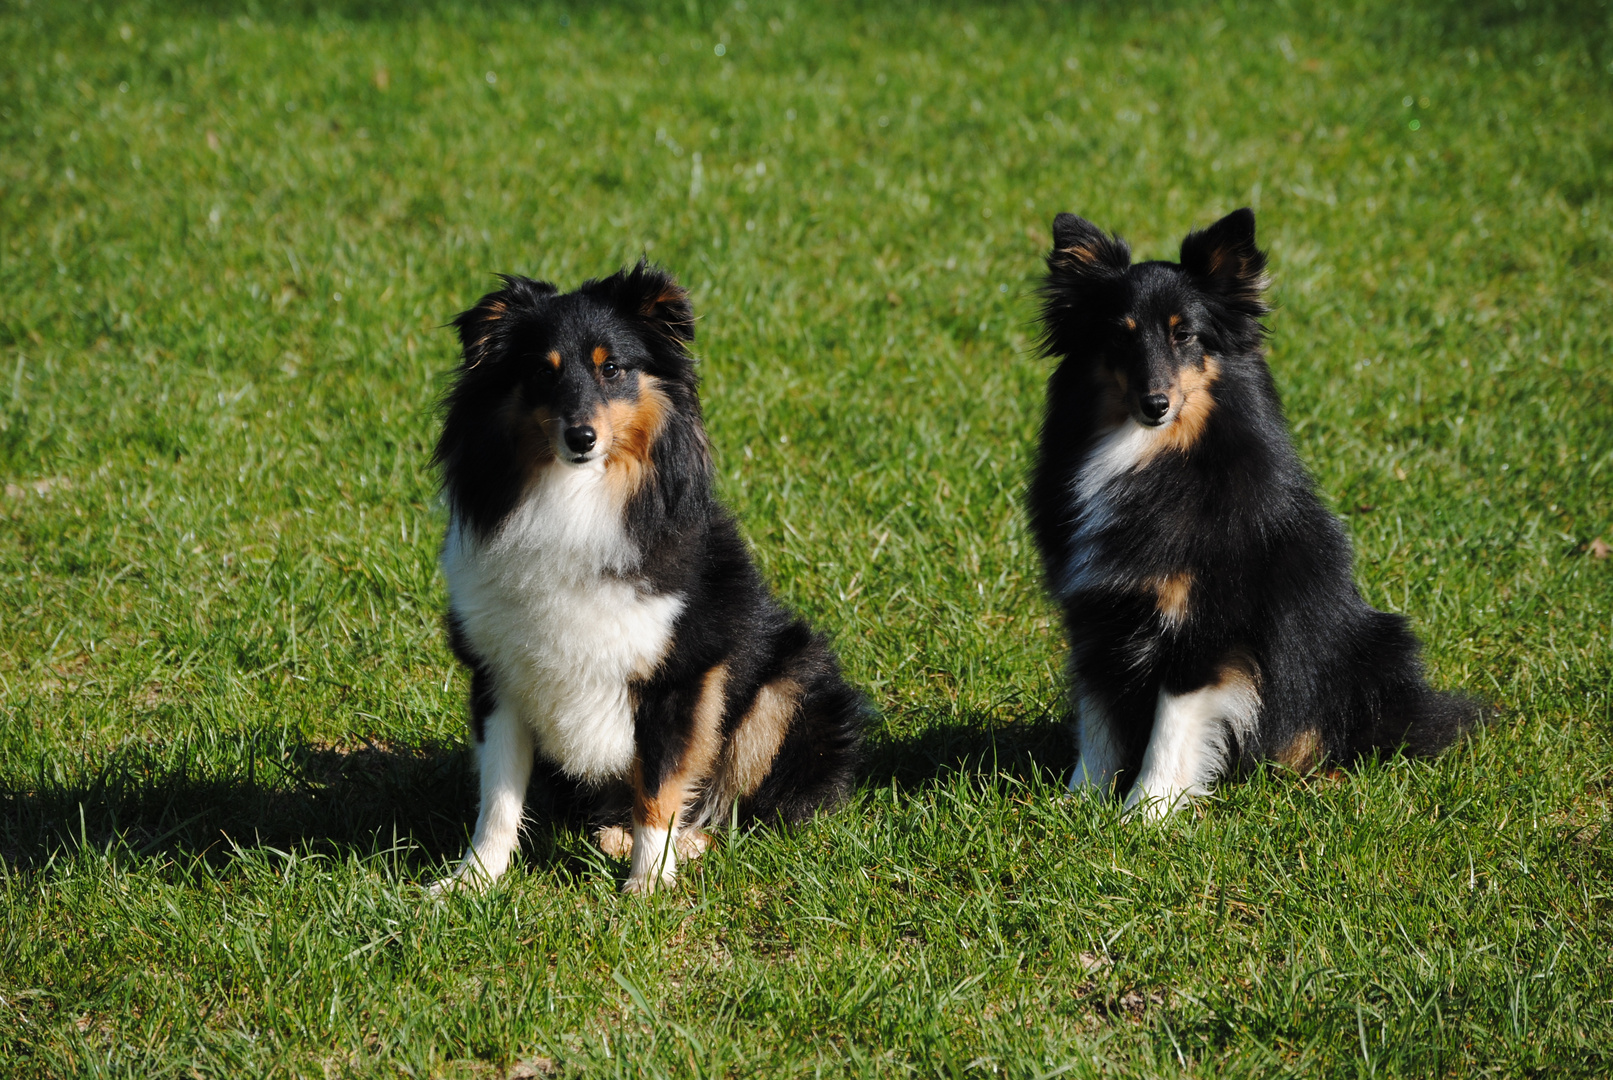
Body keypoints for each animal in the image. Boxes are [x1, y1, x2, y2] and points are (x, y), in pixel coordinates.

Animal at [425, 262, 858, 896]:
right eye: (541, 372)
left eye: (612, 368)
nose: (581, 438)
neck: (577, 497)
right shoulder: (497, 673)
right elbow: (498, 798)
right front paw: (471, 883)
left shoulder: (680, 677)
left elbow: (658, 789)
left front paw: (648, 887)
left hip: (790, 684)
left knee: (745, 809)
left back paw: (688, 844)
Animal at [1025, 209, 1477, 822]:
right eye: (1119, 334)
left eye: (1185, 334)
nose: (1154, 404)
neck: (1146, 453)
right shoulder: (1095, 615)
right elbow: (1097, 722)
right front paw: (1077, 803)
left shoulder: (1207, 624)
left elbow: (1171, 726)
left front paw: (1146, 814)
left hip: (1374, 647)